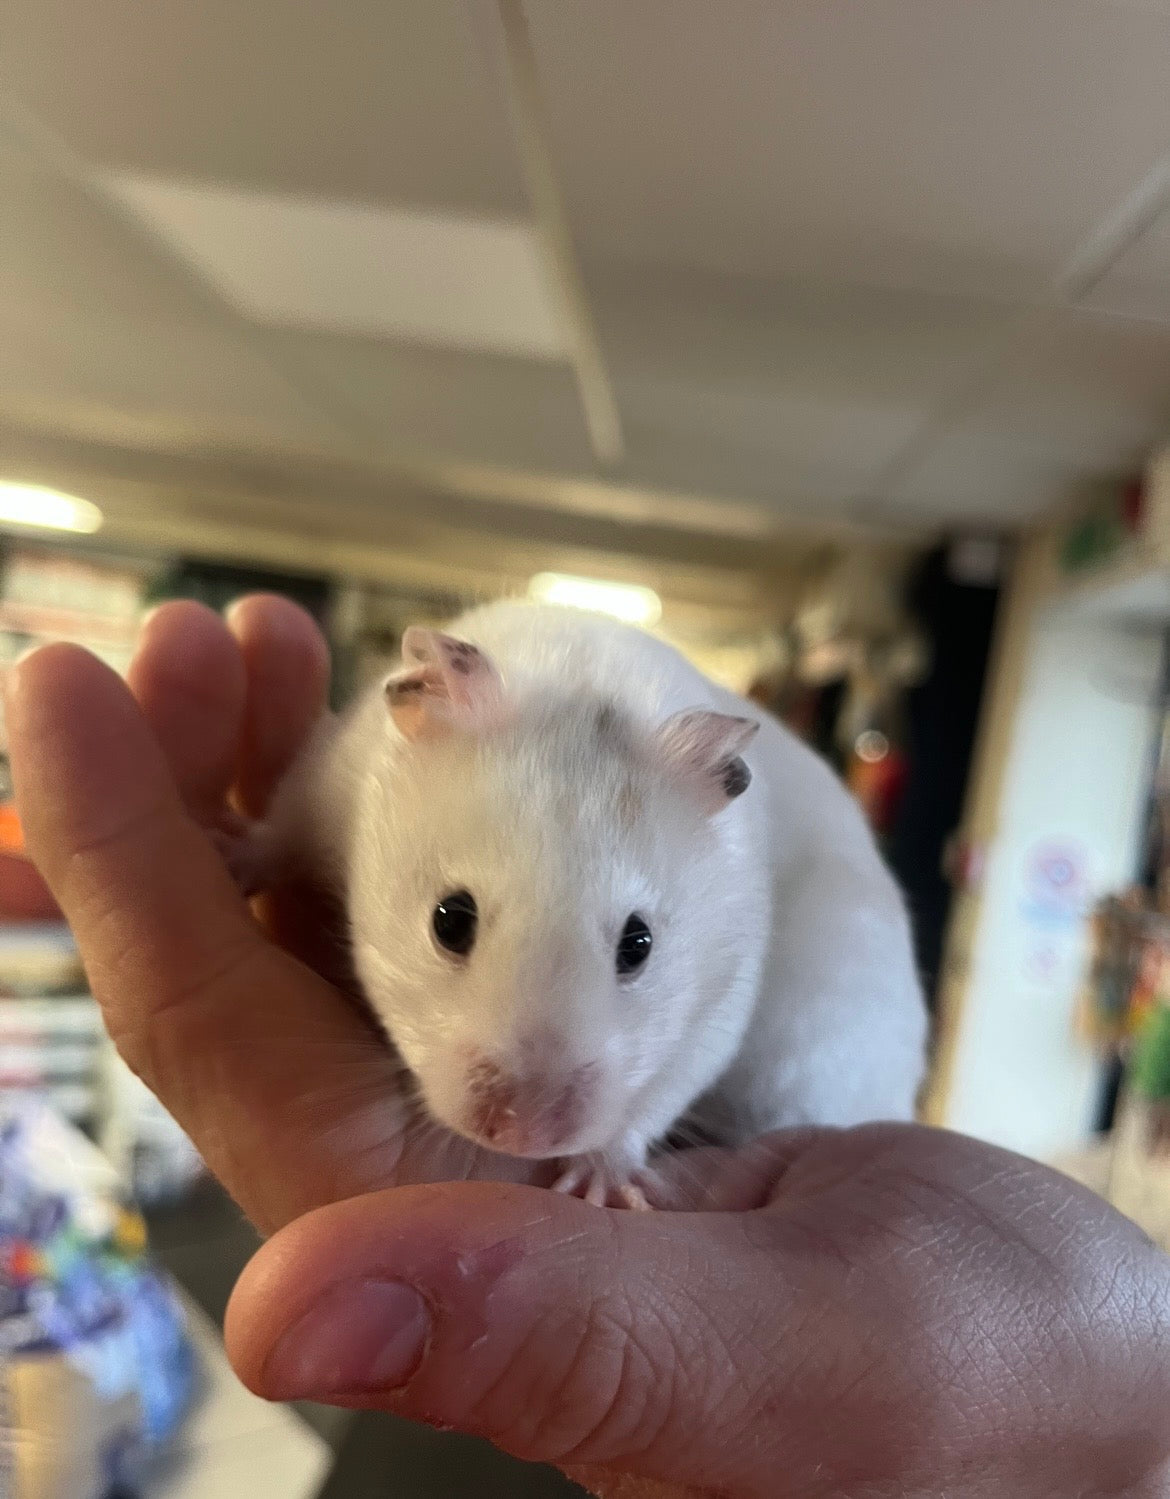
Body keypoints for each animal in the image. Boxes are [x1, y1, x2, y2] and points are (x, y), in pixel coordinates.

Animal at [222, 600, 928, 1205]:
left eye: (638, 945)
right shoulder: (324, 782)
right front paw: (227, 850)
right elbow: (279, 835)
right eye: (449, 921)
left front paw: (600, 1184)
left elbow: (657, 1096)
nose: (526, 1134)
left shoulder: (720, 1000)